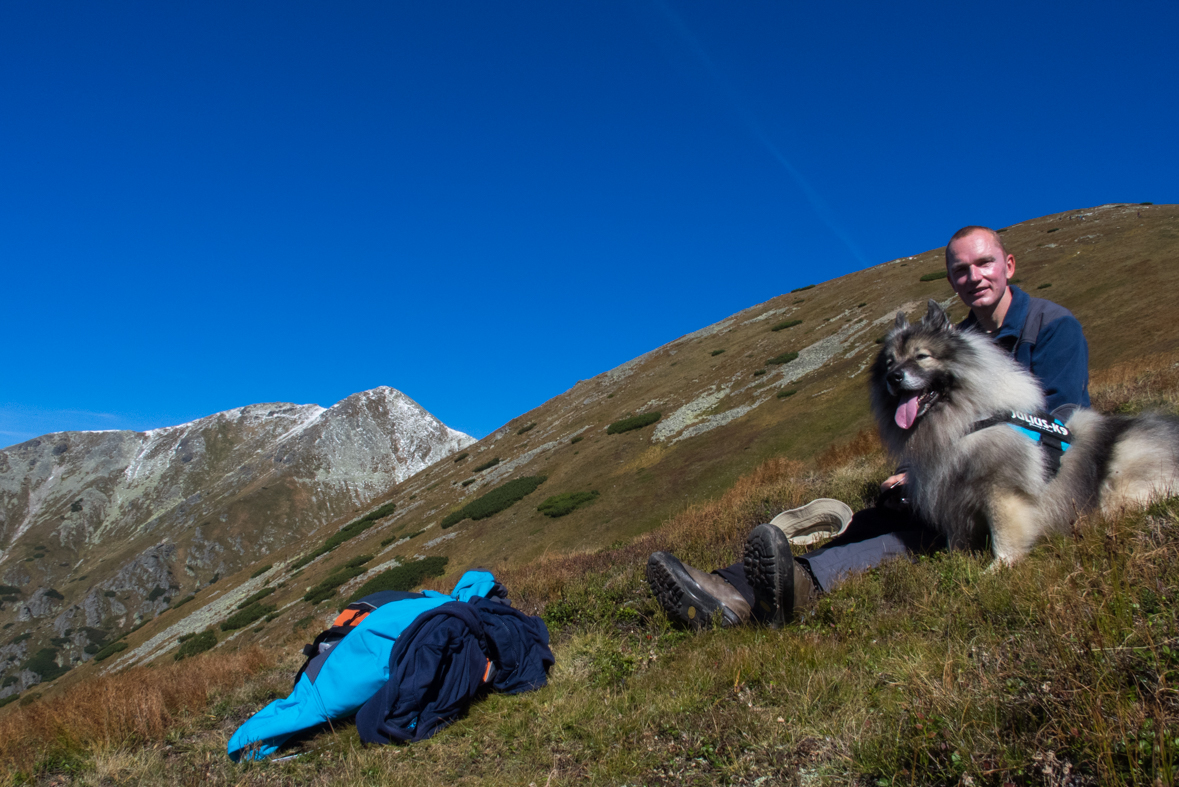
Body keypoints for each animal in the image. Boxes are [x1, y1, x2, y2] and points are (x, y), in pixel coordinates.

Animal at [867, 299, 1179, 565]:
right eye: (890, 362)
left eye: (922, 356)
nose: (894, 377)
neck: (969, 419)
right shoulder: (951, 495)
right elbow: (957, 539)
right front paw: (956, 564)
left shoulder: (1000, 490)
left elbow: (1004, 535)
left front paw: (999, 568)